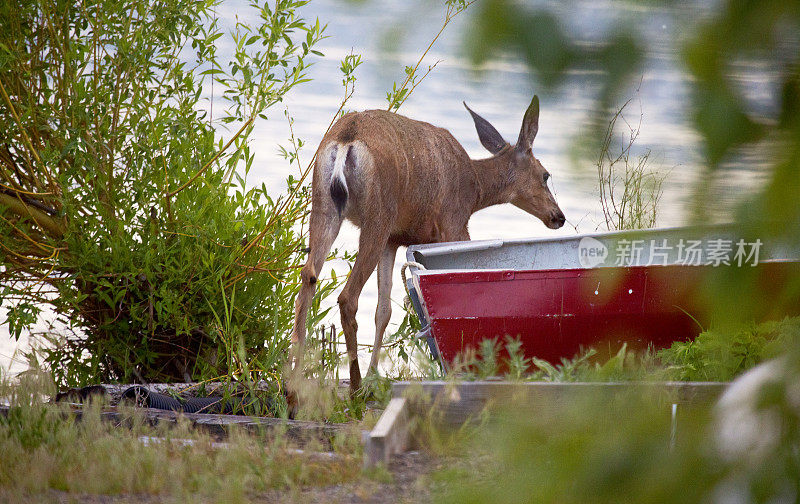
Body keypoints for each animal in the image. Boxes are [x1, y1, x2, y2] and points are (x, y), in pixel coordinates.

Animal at [292, 94, 564, 394]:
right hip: (378, 214)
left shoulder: (393, 239)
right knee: (347, 297)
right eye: (546, 175)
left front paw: (376, 373)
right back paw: (355, 387)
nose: (558, 216)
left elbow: (383, 310)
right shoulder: (454, 225)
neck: (476, 189)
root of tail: (345, 140)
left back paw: (293, 385)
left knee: (307, 278)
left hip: (325, 206)